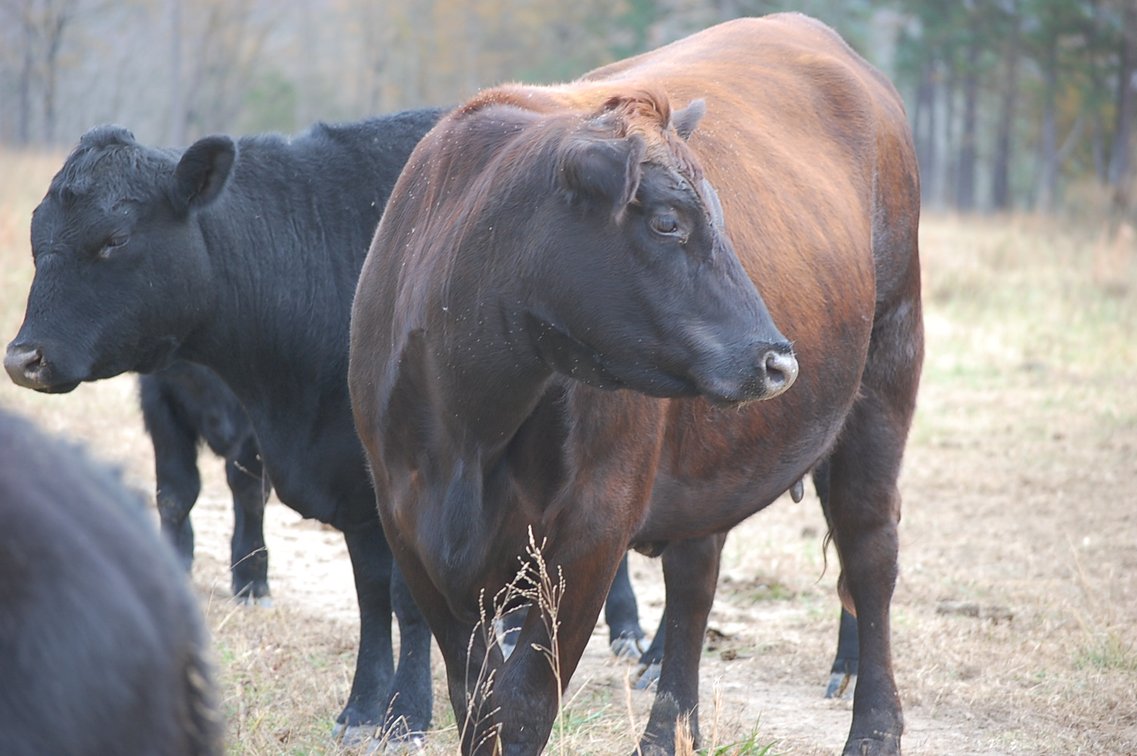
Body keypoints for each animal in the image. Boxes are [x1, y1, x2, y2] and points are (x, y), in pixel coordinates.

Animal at [348, 13, 922, 756]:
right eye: (667, 221)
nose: (777, 363)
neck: (471, 422)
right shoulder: (408, 525)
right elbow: (476, 699)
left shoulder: (594, 524)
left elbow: (524, 704)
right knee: (694, 578)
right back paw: (669, 732)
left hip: (886, 374)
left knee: (871, 552)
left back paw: (874, 730)